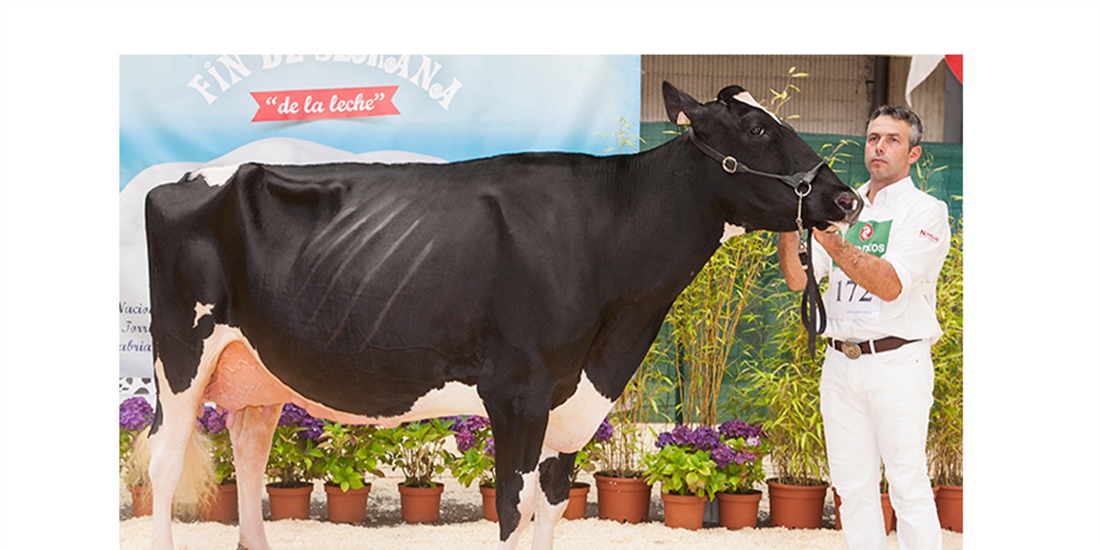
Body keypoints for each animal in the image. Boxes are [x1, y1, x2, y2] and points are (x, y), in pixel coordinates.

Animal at [142, 81, 862, 550]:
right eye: (757, 130)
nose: (846, 197)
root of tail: (185, 178)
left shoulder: (572, 405)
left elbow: (552, 507)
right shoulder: (519, 394)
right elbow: (515, 511)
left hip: (259, 371)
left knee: (249, 453)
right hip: (180, 354)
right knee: (165, 464)